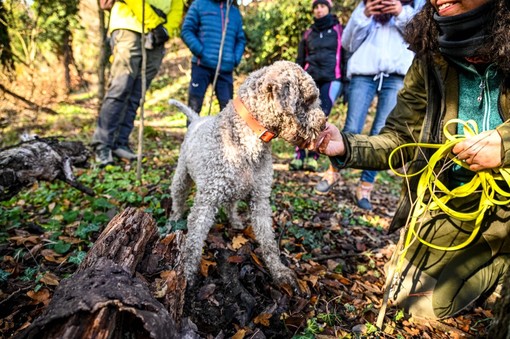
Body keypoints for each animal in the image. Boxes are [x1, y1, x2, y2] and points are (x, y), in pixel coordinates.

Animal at [167, 61, 326, 290]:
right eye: (309, 99)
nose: (324, 124)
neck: (247, 140)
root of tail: (197, 120)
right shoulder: (206, 202)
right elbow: (194, 242)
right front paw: (187, 274)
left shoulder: (260, 199)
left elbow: (268, 242)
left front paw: (279, 272)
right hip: (182, 176)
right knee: (178, 198)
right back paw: (173, 219)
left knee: (230, 205)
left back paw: (235, 221)